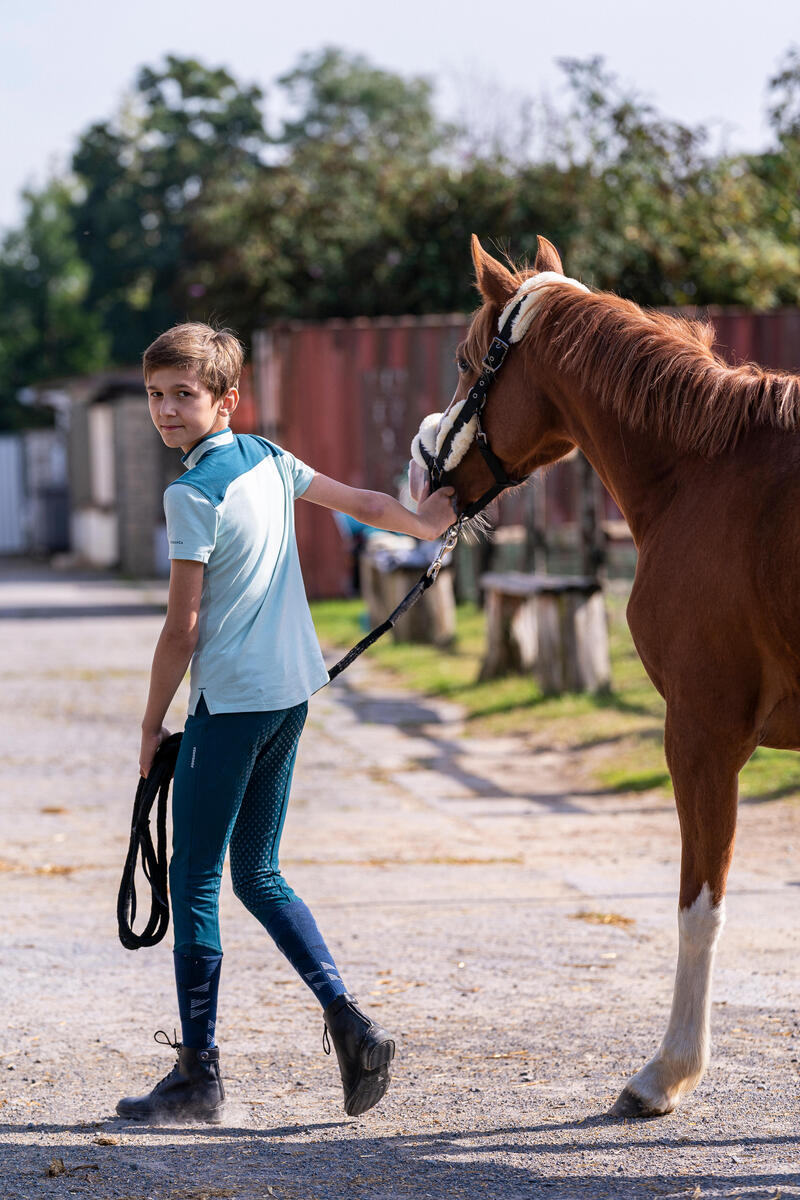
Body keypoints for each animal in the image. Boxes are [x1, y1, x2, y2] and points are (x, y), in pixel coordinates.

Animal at [417, 234, 800, 1113]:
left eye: (465, 361)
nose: (424, 471)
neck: (706, 472)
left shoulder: (701, 734)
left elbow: (699, 907)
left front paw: (667, 1072)